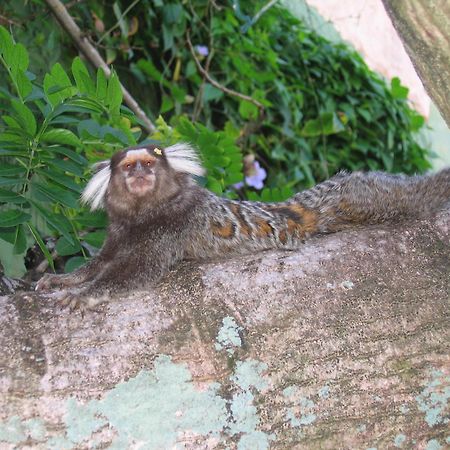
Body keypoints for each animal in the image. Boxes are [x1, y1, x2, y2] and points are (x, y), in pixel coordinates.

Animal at [35, 143, 450, 310]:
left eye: (149, 164)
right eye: (128, 166)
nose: (139, 173)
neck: (144, 215)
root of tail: (299, 210)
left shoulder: (174, 225)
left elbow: (135, 272)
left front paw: (86, 294)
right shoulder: (120, 229)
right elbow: (101, 263)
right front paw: (64, 280)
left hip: (359, 197)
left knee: (404, 197)